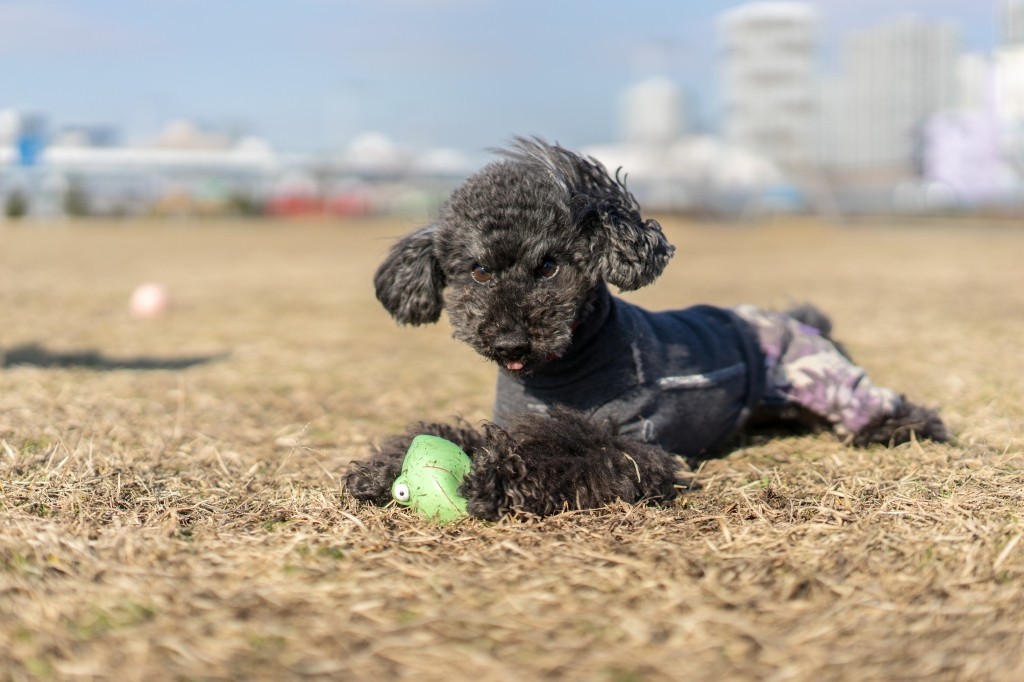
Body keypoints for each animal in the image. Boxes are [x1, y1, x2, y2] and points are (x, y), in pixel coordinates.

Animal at [344, 137, 948, 520]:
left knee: (885, 406)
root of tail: (800, 322)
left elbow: (574, 457)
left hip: (830, 382)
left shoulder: (638, 445)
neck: (559, 371)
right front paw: (378, 470)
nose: (509, 341)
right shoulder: (512, 418)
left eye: (549, 266)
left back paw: (905, 427)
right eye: (478, 271)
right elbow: (458, 434)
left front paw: (498, 480)